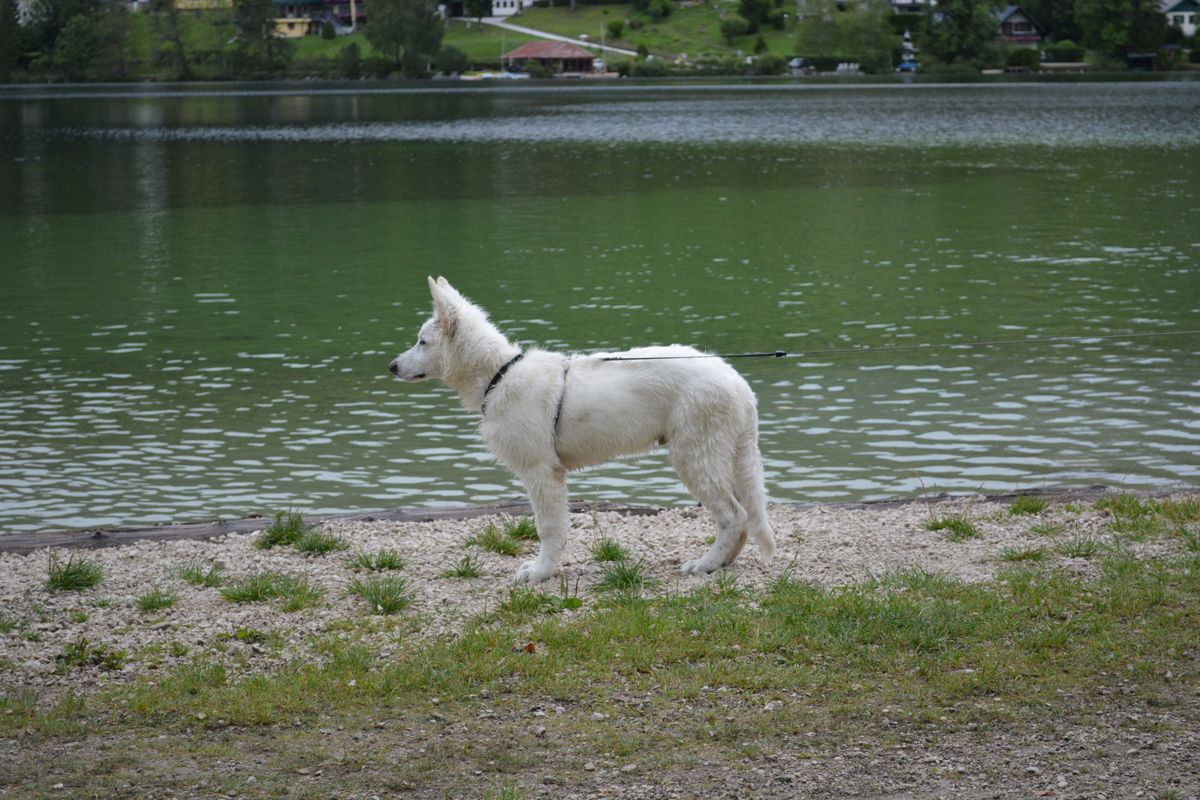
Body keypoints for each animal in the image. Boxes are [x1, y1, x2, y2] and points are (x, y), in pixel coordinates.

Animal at [388, 278, 772, 585]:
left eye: (422, 342)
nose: (391, 366)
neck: (499, 375)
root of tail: (739, 384)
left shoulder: (541, 472)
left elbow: (548, 527)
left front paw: (540, 573)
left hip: (694, 456)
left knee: (733, 516)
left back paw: (705, 564)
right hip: (725, 455)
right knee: (741, 518)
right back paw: (721, 563)